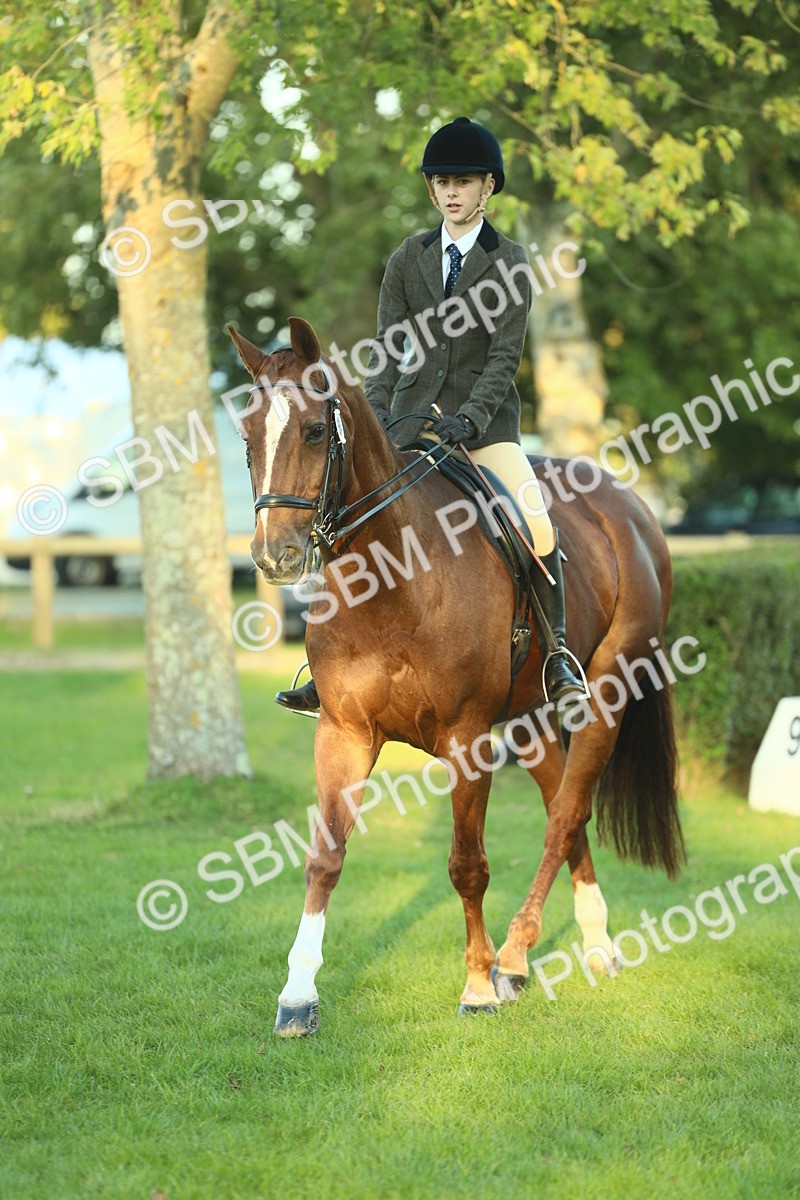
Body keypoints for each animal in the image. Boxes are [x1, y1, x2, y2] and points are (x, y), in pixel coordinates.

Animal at [228, 316, 684, 1037]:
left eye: (314, 430)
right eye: (247, 437)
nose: (275, 556)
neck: (392, 581)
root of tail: (630, 505)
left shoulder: (468, 741)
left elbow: (467, 866)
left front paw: (475, 985)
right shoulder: (343, 732)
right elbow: (324, 859)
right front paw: (298, 996)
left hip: (606, 694)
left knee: (568, 812)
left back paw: (520, 954)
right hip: (528, 720)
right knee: (565, 809)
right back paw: (577, 945)